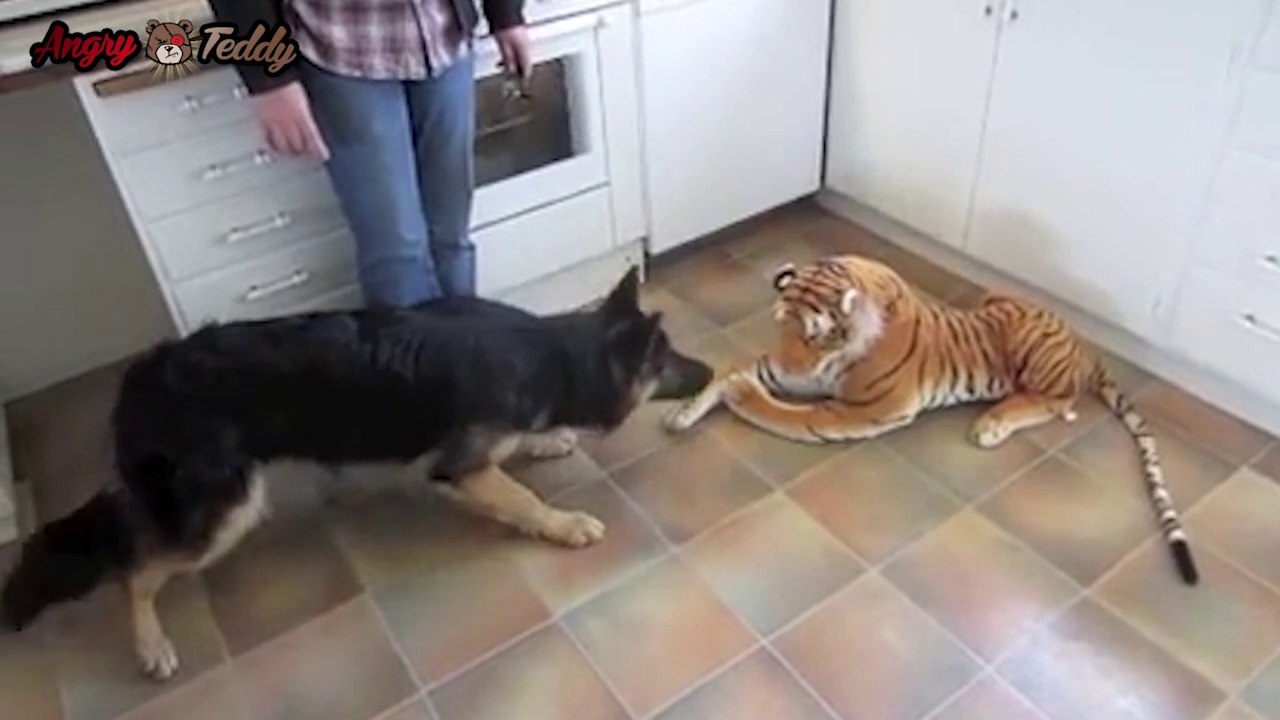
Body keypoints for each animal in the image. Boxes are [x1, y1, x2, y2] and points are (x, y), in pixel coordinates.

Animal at [664, 254, 1199, 585]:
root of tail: (1087, 347)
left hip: (1033, 354)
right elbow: (734, 370)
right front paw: (685, 411)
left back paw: (992, 425)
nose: (789, 366)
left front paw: (741, 395)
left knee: (1056, 400)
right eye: (779, 325)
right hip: (994, 297)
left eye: (814, 335)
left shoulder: (864, 409)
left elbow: (787, 416)